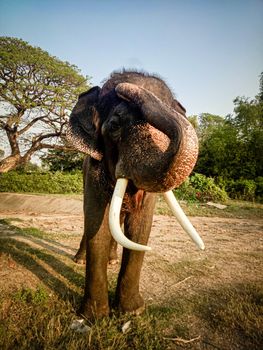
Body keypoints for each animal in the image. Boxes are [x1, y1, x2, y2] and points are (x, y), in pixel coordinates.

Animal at [66, 70, 204, 320]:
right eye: (114, 125)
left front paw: (132, 311)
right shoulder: (93, 172)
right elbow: (97, 225)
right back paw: (80, 260)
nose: (123, 86)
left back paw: (112, 260)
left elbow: (140, 227)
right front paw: (94, 317)